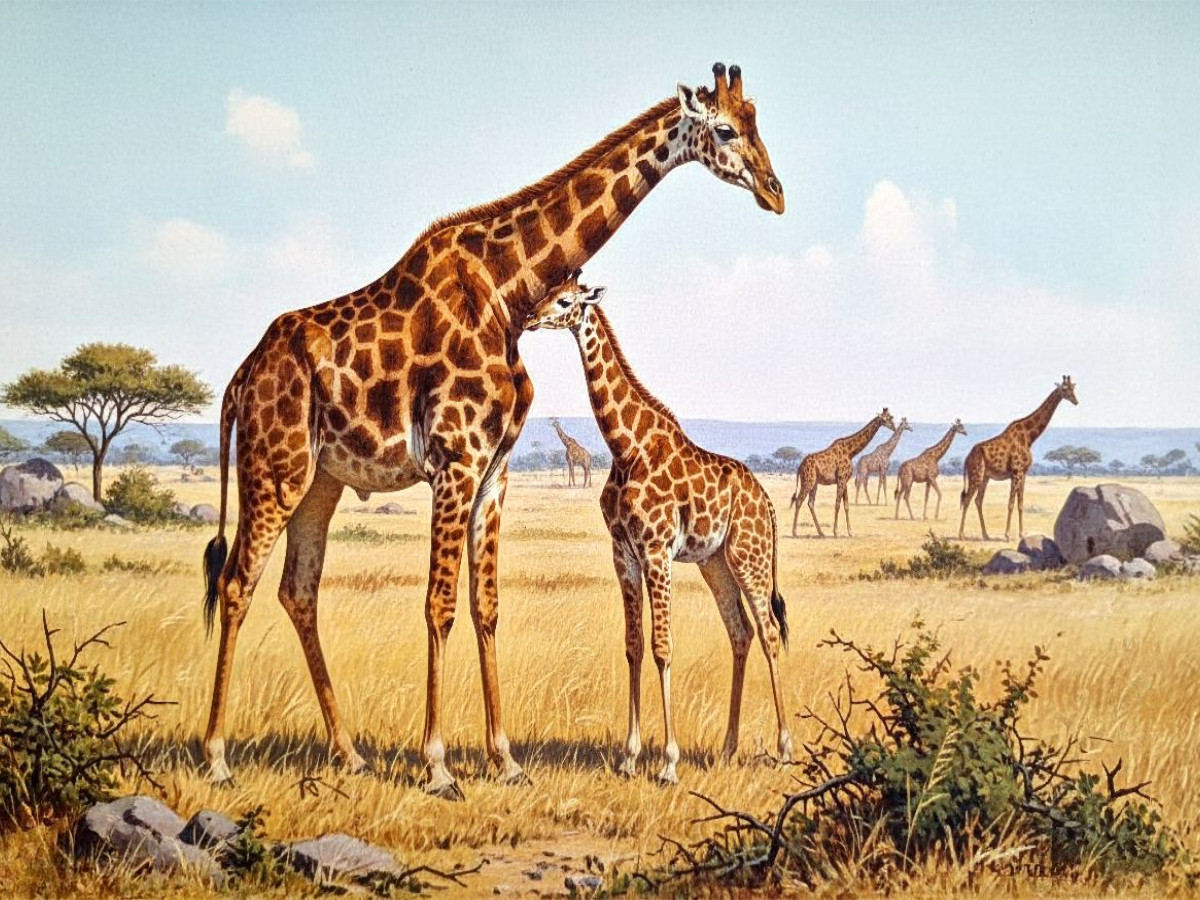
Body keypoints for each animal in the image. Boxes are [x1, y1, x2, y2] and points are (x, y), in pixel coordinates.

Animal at [525, 272, 791, 783]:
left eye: (565, 301)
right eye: (547, 292)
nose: (529, 318)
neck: (626, 447)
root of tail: (766, 502)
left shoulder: (656, 551)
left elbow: (662, 647)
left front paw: (668, 761)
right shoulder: (623, 553)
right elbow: (632, 646)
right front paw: (629, 757)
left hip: (749, 556)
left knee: (769, 633)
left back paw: (786, 748)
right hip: (715, 563)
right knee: (741, 633)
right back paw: (727, 749)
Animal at [958, 377, 1078, 541]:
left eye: (1073, 388)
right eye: (1065, 389)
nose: (1076, 401)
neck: (1029, 437)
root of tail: (967, 458)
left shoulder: (1023, 473)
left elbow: (1020, 503)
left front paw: (1021, 534)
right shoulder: (1016, 472)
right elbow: (1010, 503)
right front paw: (1007, 535)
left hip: (985, 477)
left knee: (978, 500)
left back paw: (986, 535)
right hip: (976, 474)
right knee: (967, 499)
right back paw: (961, 535)